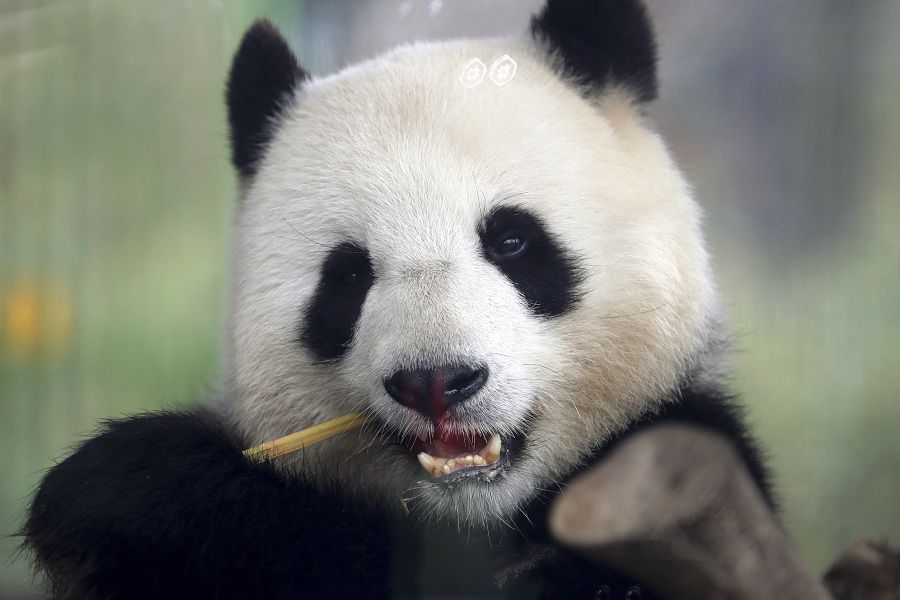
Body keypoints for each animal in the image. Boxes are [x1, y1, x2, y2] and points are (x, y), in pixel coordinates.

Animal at [26, 1, 772, 600]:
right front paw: (128, 494)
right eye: (348, 277)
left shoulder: (687, 475)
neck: (473, 512)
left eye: (511, 240)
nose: (436, 381)